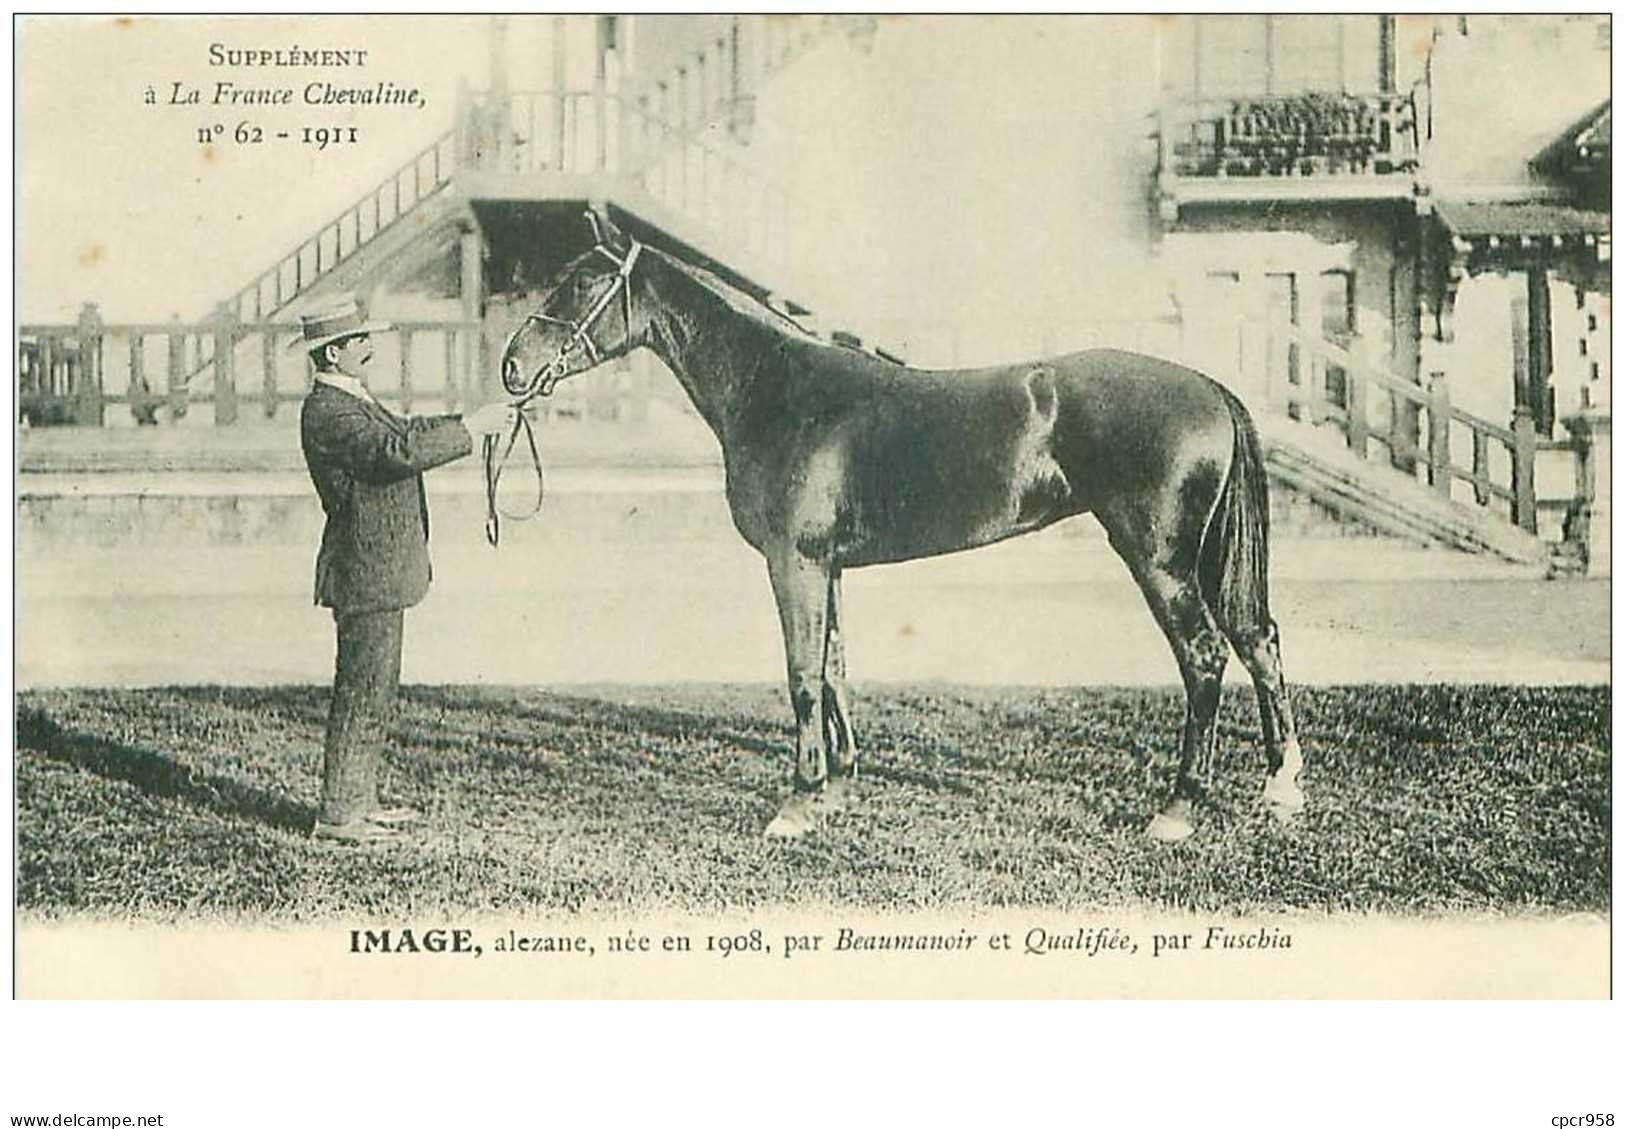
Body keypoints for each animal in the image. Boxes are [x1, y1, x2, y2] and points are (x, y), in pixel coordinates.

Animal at [500, 211, 1300, 844]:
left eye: (581, 284)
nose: (511, 367)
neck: (779, 390)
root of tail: (1211, 388)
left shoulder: (793, 560)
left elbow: (801, 675)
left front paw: (795, 804)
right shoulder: (826, 565)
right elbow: (833, 668)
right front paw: (837, 788)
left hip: (1159, 558)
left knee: (1204, 657)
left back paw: (1178, 809)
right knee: (1257, 640)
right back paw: (1283, 786)